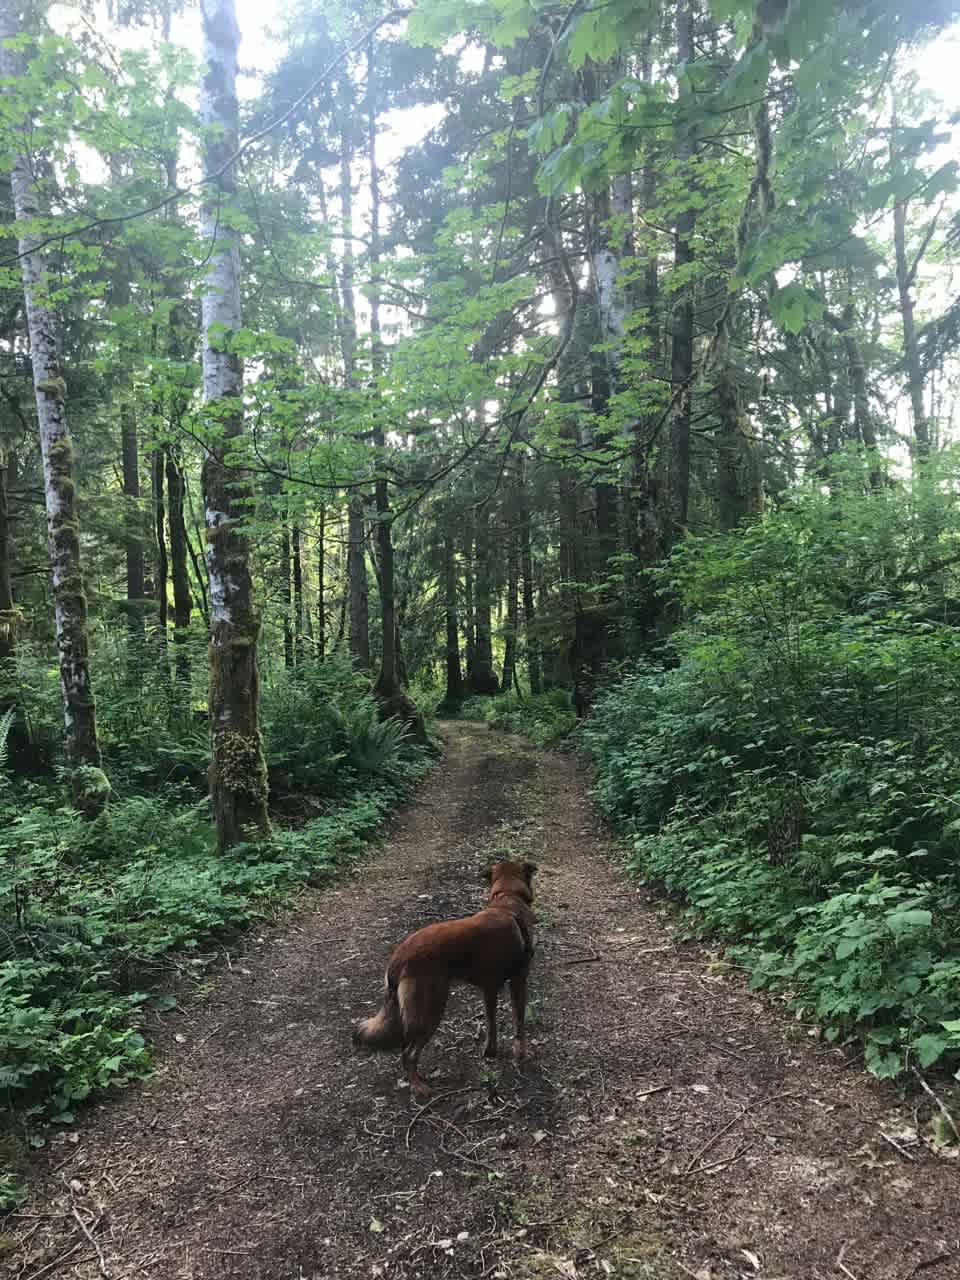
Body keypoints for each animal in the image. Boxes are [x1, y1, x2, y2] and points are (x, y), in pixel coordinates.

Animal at [353, 855, 537, 1095]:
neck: (508, 899)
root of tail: (398, 958)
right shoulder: (518, 982)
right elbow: (519, 1023)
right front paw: (520, 1053)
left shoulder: (489, 988)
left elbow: (491, 1023)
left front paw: (491, 1051)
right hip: (431, 1010)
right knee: (408, 1053)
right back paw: (419, 1087)